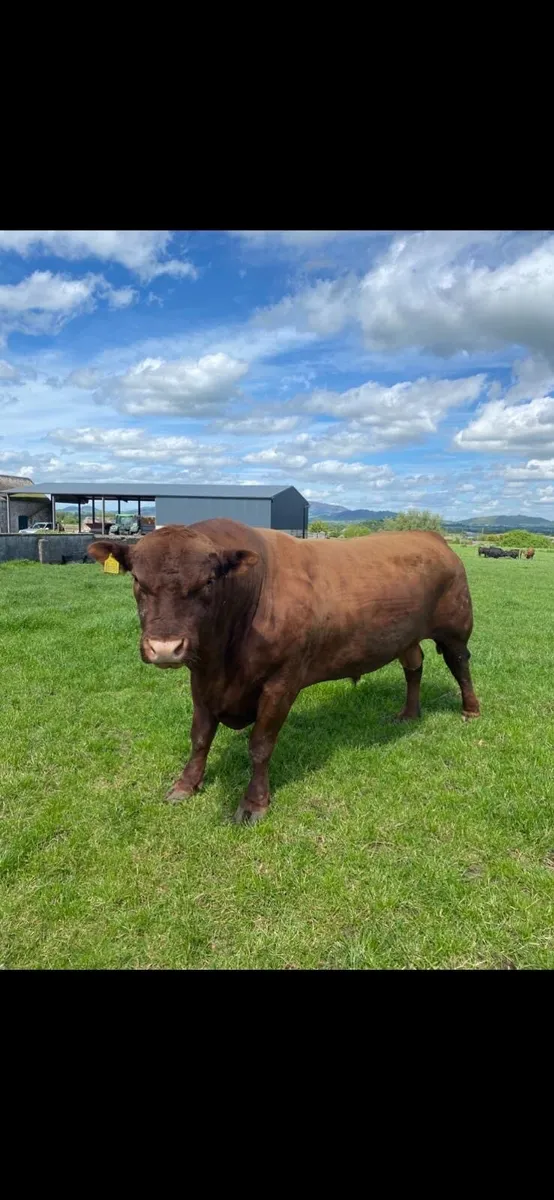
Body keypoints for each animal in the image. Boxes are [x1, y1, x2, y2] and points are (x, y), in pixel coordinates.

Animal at [89, 521, 480, 824]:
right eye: (138, 580)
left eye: (208, 582)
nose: (166, 647)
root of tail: (430, 536)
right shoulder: (202, 679)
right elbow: (200, 737)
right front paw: (186, 784)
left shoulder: (281, 683)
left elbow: (260, 745)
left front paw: (254, 803)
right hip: (405, 635)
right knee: (413, 665)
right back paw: (409, 713)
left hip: (455, 627)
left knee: (460, 664)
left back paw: (470, 710)